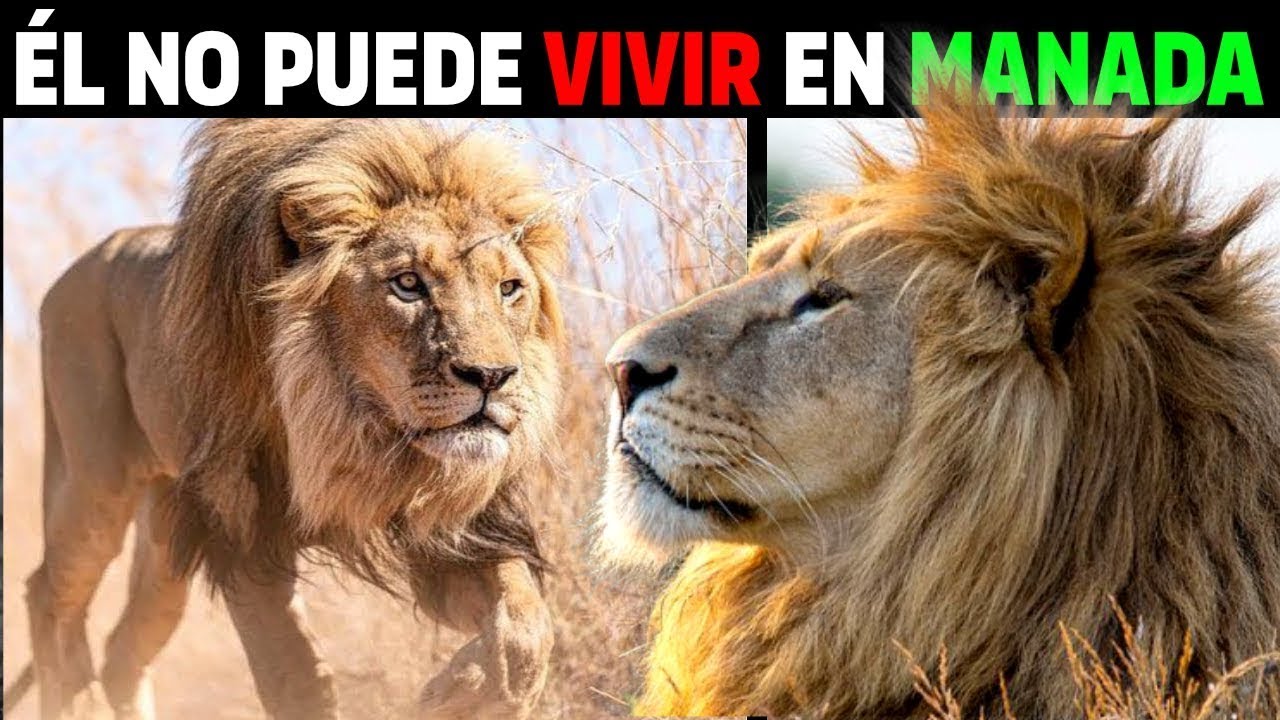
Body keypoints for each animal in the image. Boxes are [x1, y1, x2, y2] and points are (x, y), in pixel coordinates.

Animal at [13, 118, 567, 720]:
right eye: (408, 284)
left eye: (509, 288)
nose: (492, 376)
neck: (356, 427)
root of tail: (86, 260)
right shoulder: (243, 531)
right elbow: (293, 676)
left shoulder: (460, 533)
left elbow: (527, 624)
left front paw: (464, 692)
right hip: (95, 482)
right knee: (48, 594)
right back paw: (73, 698)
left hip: (167, 531)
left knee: (123, 649)